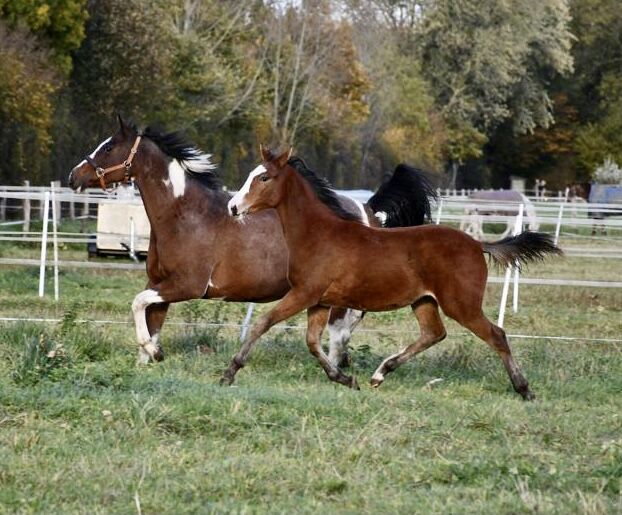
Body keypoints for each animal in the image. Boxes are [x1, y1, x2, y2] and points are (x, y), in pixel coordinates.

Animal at [68, 117, 436, 366]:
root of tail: (369, 210)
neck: (184, 215)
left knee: (342, 328)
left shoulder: (187, 285)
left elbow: (137, 304)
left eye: (108, 147)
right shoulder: (159, 283)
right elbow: (149, 317)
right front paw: (149, 358)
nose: (74, 175)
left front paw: (152, 351)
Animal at [224, 147, 564, 402]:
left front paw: (230, 371)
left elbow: (263, 323)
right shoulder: (319, 300)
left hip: (461, 304)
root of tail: (477, 244)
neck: (318, 234)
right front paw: (345, 379)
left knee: (496, 335)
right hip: (424, 301)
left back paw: (524, 389)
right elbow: (312, 341)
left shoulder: (304, 293)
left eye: (264, 177)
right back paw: (379, 374)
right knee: (434, 333)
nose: (232, 207)